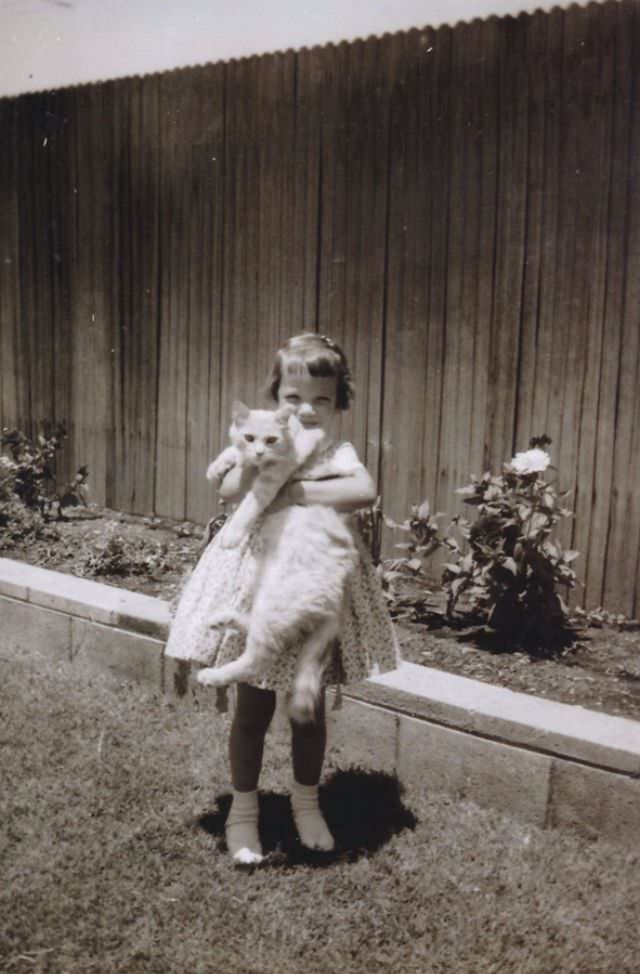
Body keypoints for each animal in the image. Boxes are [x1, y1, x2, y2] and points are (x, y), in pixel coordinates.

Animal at [198, 400, 358, 720]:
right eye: (249, 437)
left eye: (271, 440)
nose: (259, 452)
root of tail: (339, 599)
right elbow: (232, 451)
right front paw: (218, 466)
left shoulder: (274, 477)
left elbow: (250, 504)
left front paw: (232, 535)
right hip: (269, 594)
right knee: (257, 630)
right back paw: (223, 620)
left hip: (276, 602)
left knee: (258, 658)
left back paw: (213, 675)